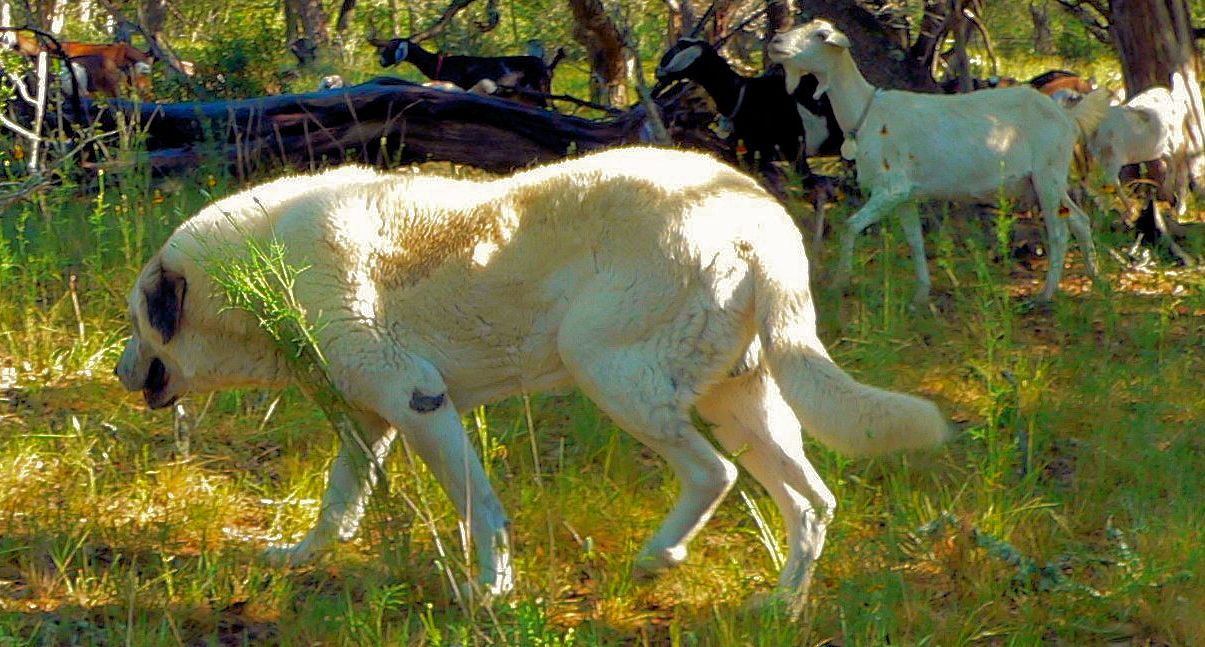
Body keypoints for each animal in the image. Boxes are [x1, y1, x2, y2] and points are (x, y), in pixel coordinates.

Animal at [115, 146, 949, 609]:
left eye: (136, 319)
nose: (121, 371)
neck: (261, 265)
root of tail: (755, 218)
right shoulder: (372, 420)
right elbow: (337, 504)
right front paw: (300, 556)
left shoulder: (420, 403)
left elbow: (479, 509)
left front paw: (491, 592)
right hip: (743, 401)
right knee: (812, 501)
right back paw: (779, 606)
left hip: (608, 368)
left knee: (712, 474)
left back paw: (658, 558)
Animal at [655, 37, 843, 191]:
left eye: (678, 49)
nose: (658, 71)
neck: (743, 95)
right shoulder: (754, 148)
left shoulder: (793, 140)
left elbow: (803, 174)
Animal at [771, 19, 1108, 302]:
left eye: (820, 35)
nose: (775, 41)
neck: (865, 113)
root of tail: (1067, 116)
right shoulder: (905, 196)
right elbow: (915, 241)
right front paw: (921, 296)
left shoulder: (890, 188)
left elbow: (850, 227)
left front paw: (838, 283)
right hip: (1041, 181)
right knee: (1079, 219)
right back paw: (1096, 279)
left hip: (1047, 175)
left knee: (1059, 231)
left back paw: (1046, 295)